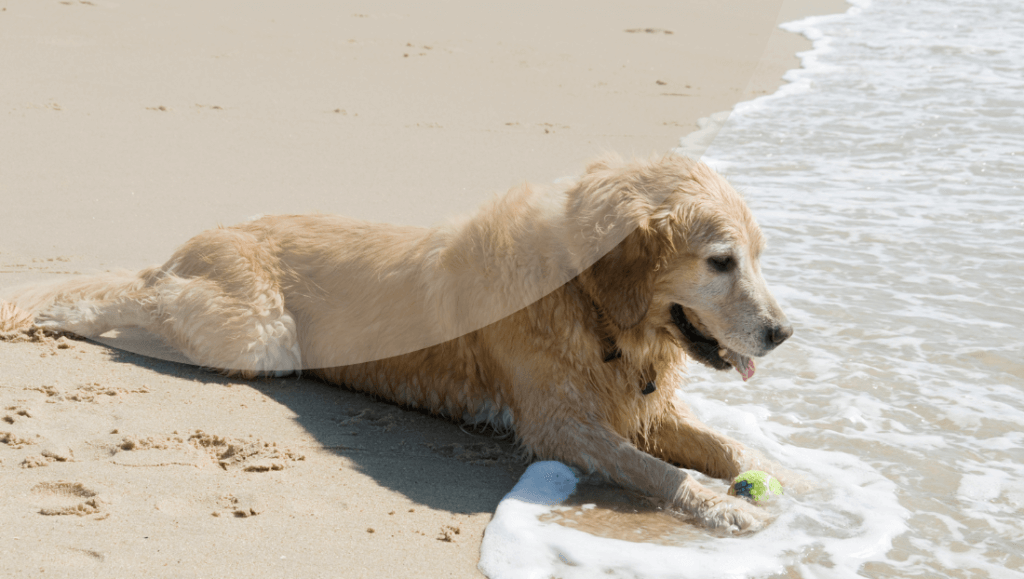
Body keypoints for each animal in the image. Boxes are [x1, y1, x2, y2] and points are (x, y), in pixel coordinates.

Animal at [2, 154, 790, 532]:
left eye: (757, 256)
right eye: (721, 261)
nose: (784, 333)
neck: (591, 307)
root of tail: (182, 248)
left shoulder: (643, 406)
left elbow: (722, 446)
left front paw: (783, 477)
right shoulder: (560, 424)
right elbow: (655, 470)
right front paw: (729, 507)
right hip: (259, 336)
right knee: (128, 311)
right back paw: (53, 317)